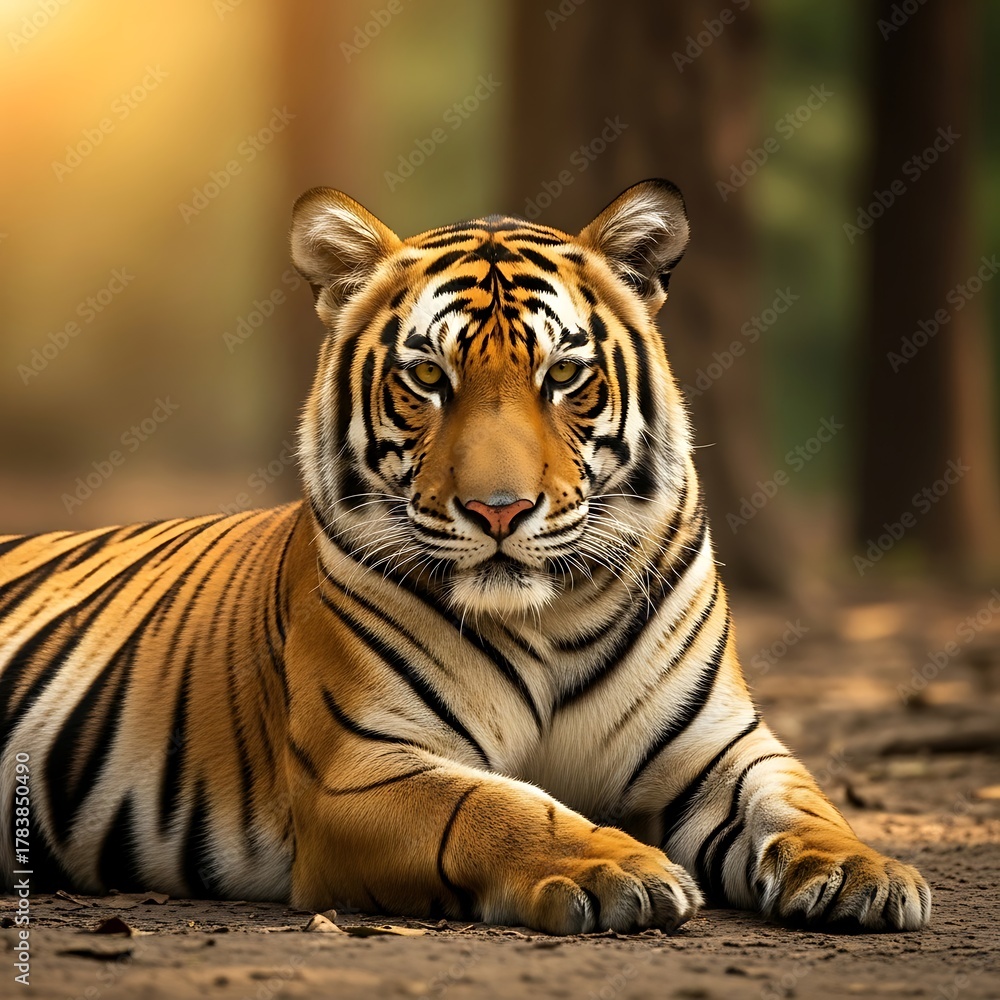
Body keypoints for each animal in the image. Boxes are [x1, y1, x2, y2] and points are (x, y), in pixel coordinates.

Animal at [0, 180, 930, 934]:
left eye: (564, 376)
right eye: (427, 379)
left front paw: (866, 872)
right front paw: (616, 867)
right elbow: (496, 807)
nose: (499, 509)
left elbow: (797, 801)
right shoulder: (362, 766)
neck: (553, 616)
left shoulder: (719, 746)